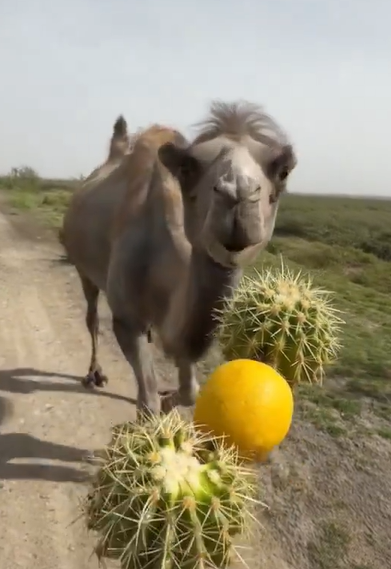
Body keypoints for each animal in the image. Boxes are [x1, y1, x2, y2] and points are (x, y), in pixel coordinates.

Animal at [62, 100, 298, 414]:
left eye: (283, 171)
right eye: (188, 167)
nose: (237, 194)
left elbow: (191, 390)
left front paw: (169, 399)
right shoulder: (126, 319)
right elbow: (147, 402)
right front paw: (157, 405)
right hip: (82, 267)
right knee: (92, 318)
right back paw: (94, 374)